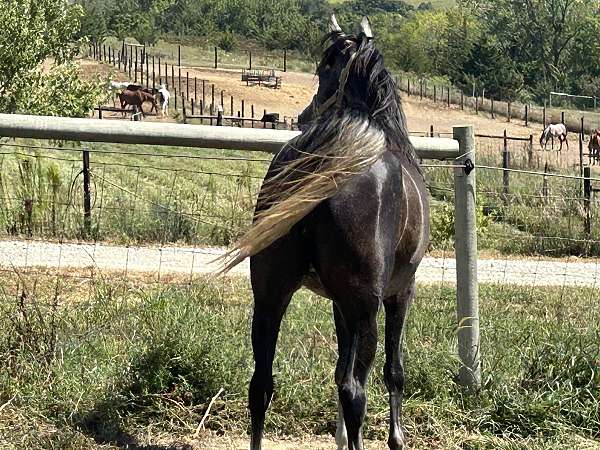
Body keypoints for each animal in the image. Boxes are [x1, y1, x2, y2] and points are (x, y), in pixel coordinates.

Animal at [223, 14, 428, 450]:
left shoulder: (338, 304)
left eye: (325, 69)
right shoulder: (400, 293)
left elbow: (337, 369)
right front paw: (396, 439)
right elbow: (393, 371)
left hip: (270, 296)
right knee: (356, 390)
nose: (304, 116)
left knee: (260, 385)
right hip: (365, 307)